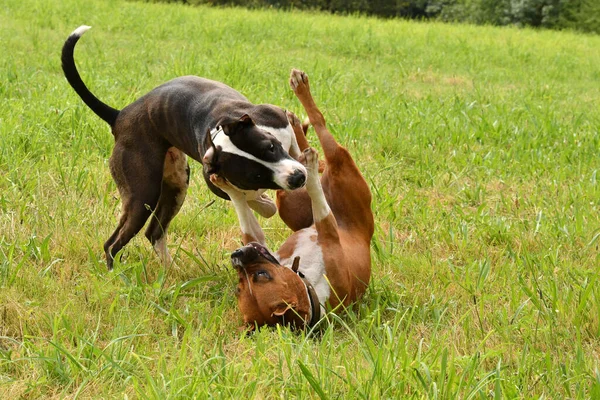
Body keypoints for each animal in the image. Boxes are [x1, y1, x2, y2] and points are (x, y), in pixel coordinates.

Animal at [61, 25, 308, 268]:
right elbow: (255, 202)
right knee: (113, 243)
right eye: (254, 176)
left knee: (153, 232)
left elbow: (294, 150)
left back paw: (169, 271)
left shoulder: (281, 126)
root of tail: (120, 116)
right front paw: (263, 202)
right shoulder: (222, 184)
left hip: (176, 184)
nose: (298, 178)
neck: (218, 136)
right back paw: (117, 273)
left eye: (271, 147)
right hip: (142, 197)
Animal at [209, 70, 372, 330]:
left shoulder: (260, 243)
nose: (237, 254)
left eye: (259, 276)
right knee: (320, 127)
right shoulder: (326, 228)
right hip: (337, 168)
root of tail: (367, 232)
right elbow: (317, 200)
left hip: (290, 199)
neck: (309, 284)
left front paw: (226, 183)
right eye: (241, 284)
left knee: (308, 142)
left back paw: (296, 124)